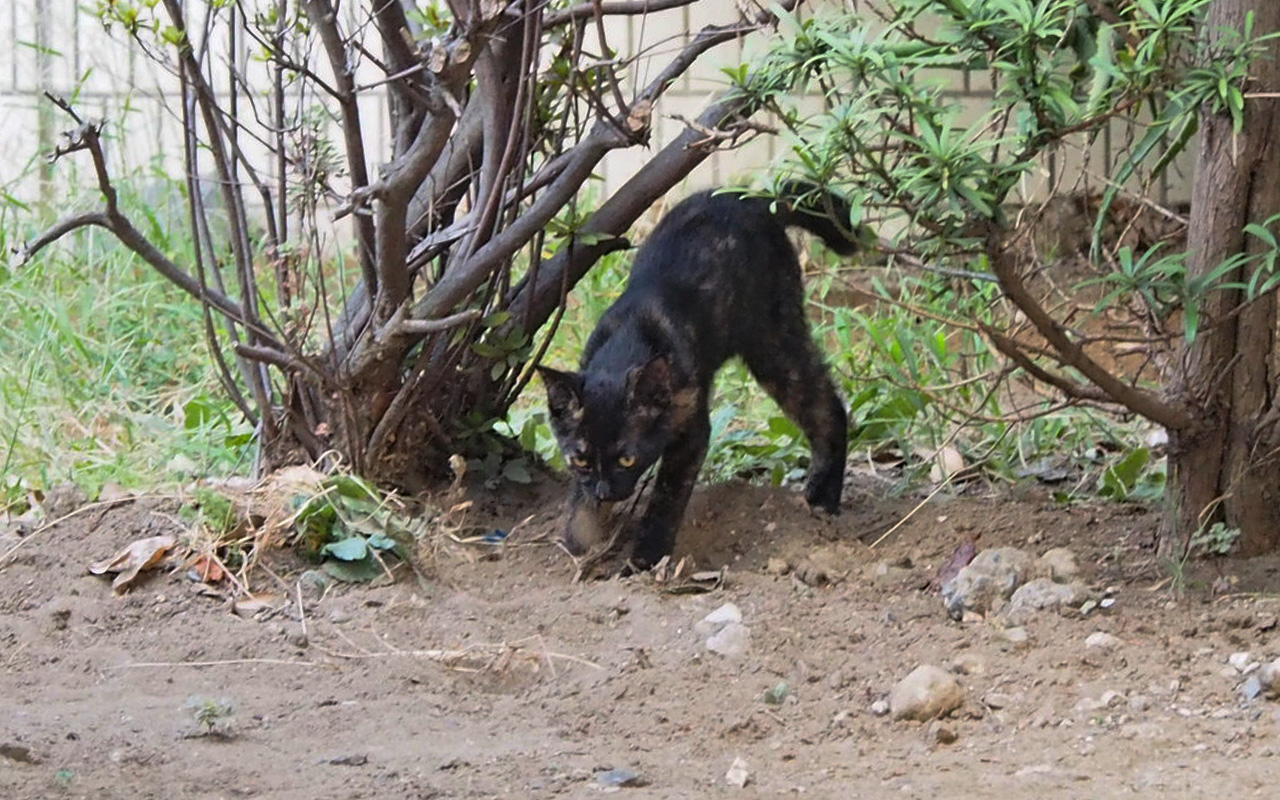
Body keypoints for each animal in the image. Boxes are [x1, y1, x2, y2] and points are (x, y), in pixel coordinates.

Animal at [535, 184, 855, 565]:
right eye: (580, 459)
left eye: (628, 458)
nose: (605, 492)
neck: (626, 344)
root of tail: (757, 198)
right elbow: (577, 511)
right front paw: (581, 541)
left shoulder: (692, 430)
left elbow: (666, 497)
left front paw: (645, 558)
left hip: (773, 345)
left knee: (828, 405)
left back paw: (824, 499)